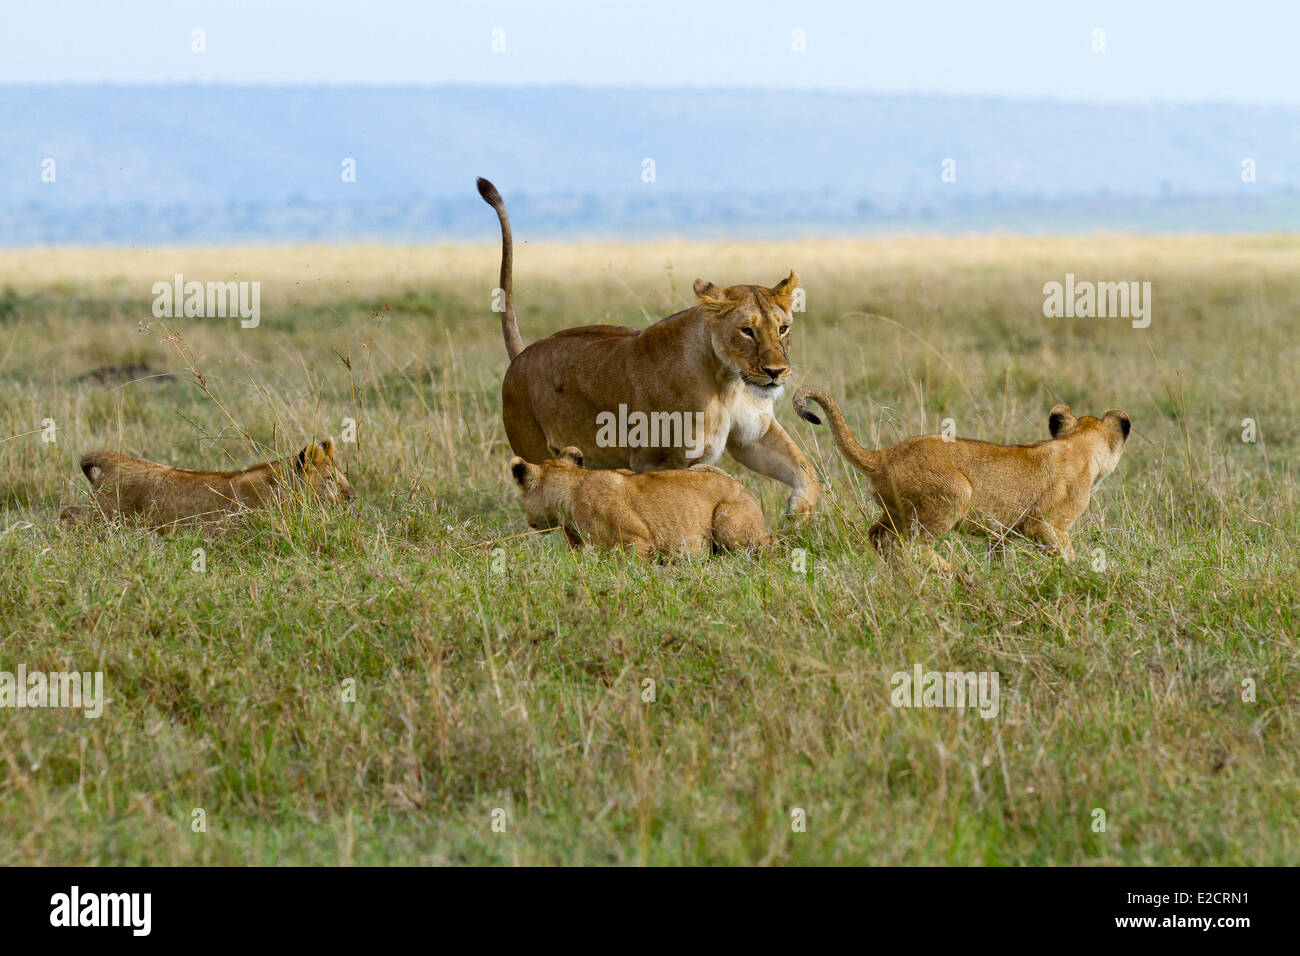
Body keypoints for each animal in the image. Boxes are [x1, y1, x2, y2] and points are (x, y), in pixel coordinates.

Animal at [59, 439, 355, 529]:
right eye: (329, 479)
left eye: (344, 474)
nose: (352, 497)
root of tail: (117, 459)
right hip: (104, 517)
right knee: (69, 515)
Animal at [478, 177, 818, 518]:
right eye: (747, 331)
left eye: (783, 328)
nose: (776, 372)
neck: (727, 383)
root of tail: (522, 354)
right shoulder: (653, 459)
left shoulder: (753, 435)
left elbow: (804, 468)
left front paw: (799, 511)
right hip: (533, 449)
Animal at [793, 386, 1131, 570]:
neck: (1078, 444)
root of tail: (884, 454)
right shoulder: (1046, 524)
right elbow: (1067, 555)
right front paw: (1080, 572)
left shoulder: (1001, 535)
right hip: (954, 495)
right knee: (912, 546)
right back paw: (954, 572)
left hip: (894, 513)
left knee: (878, 536)